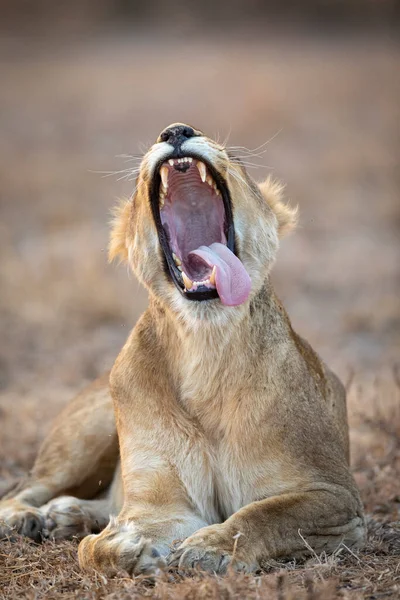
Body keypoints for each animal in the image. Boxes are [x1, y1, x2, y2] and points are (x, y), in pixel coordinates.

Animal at [0, 123, 366, 576]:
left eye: (236, 160)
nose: (176, 130)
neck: (204, 346)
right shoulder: (164, 504)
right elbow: (92, 550)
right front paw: (129, 548)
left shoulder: (335, 496)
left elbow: (266, 514)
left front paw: (209, 549)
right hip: (87, 431)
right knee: (28, 486)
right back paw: (31, 517)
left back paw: (67, 515)